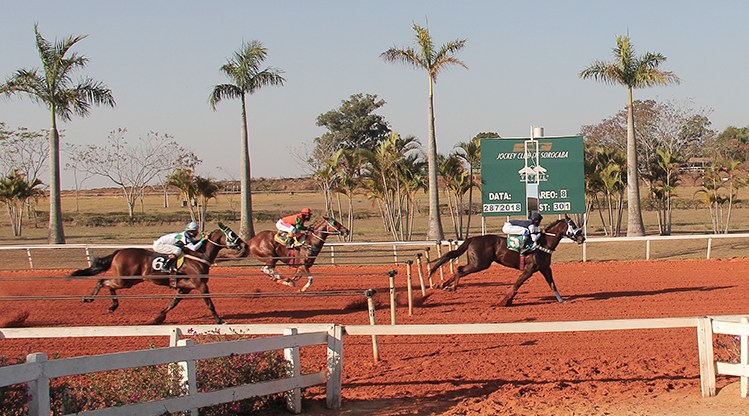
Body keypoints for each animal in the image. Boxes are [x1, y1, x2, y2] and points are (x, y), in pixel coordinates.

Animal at [71, 222, 248, 324]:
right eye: (232, 234)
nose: (245, 246)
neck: (199, 256)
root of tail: (119, 252)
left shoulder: (186, 287)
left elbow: (173, 303)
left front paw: (159, 317)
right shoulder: (200, 284)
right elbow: (209, 303)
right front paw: (220, 321)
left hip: (130, 280)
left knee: (108, 284)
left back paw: (112, 306)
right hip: (125, 279)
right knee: (102, 281)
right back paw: (90, 299)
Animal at [429, 215, 585, 306]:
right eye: (573, 225)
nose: (582, 238)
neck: (543, 244)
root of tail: (473, 238)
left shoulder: (545, 268)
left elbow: (552, 284)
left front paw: (561, 300)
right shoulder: (529, 269)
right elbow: (517, 284)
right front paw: (504, 301)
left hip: (477, 263)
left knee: (459, 269)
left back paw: (443, 285)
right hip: (479, 264)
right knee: (460, 269)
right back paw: (452, 287)